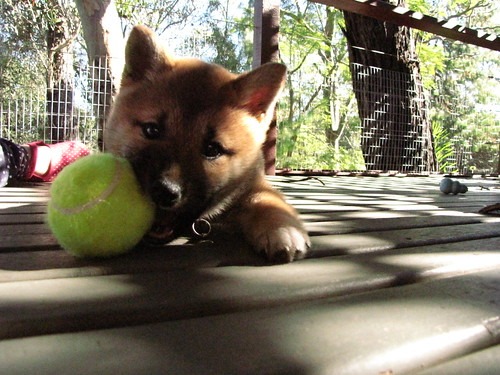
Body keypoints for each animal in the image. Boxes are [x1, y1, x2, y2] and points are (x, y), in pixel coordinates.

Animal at [105, 25, 308, 262]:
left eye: (212, 149)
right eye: (151, 130)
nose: (165, 191)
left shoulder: (254, 184)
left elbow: (268, 199)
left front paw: (282, 228)